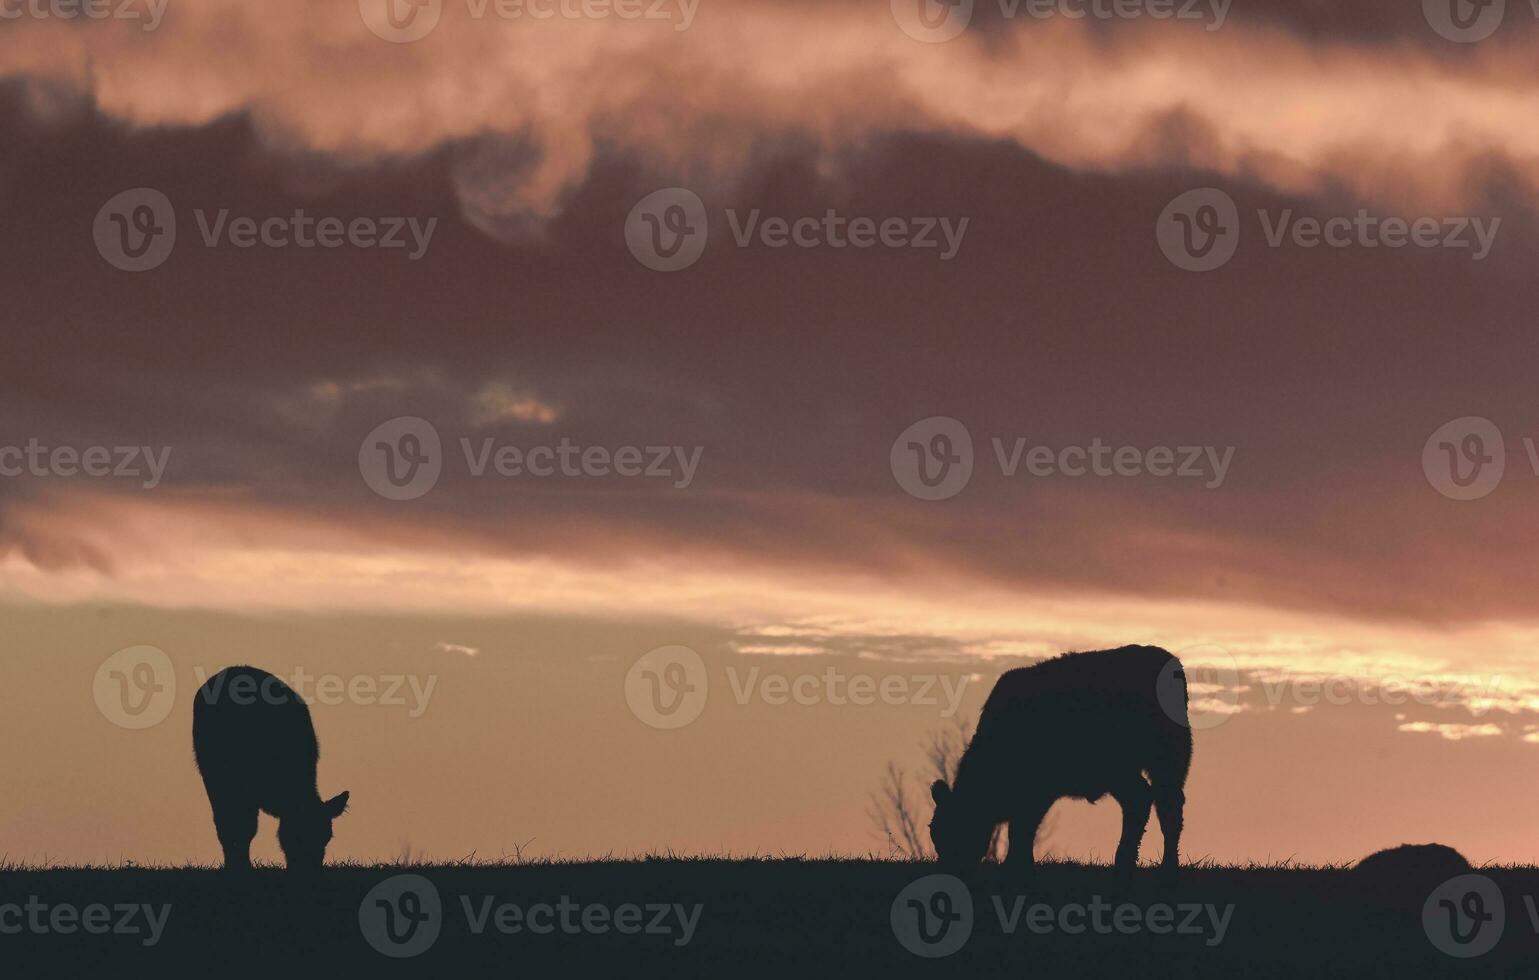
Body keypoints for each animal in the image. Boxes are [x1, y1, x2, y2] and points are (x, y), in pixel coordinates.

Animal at [923, 646, 1188, 873]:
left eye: (958, 828)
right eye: (934, 832)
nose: (949, 867)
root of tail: (1167, 660)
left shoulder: (1037, 793)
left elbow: (1023, 827)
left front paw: (1017, 863)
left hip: (1139, 765)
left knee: (1149, 801)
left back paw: (1136, 861)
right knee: (1163, 804)